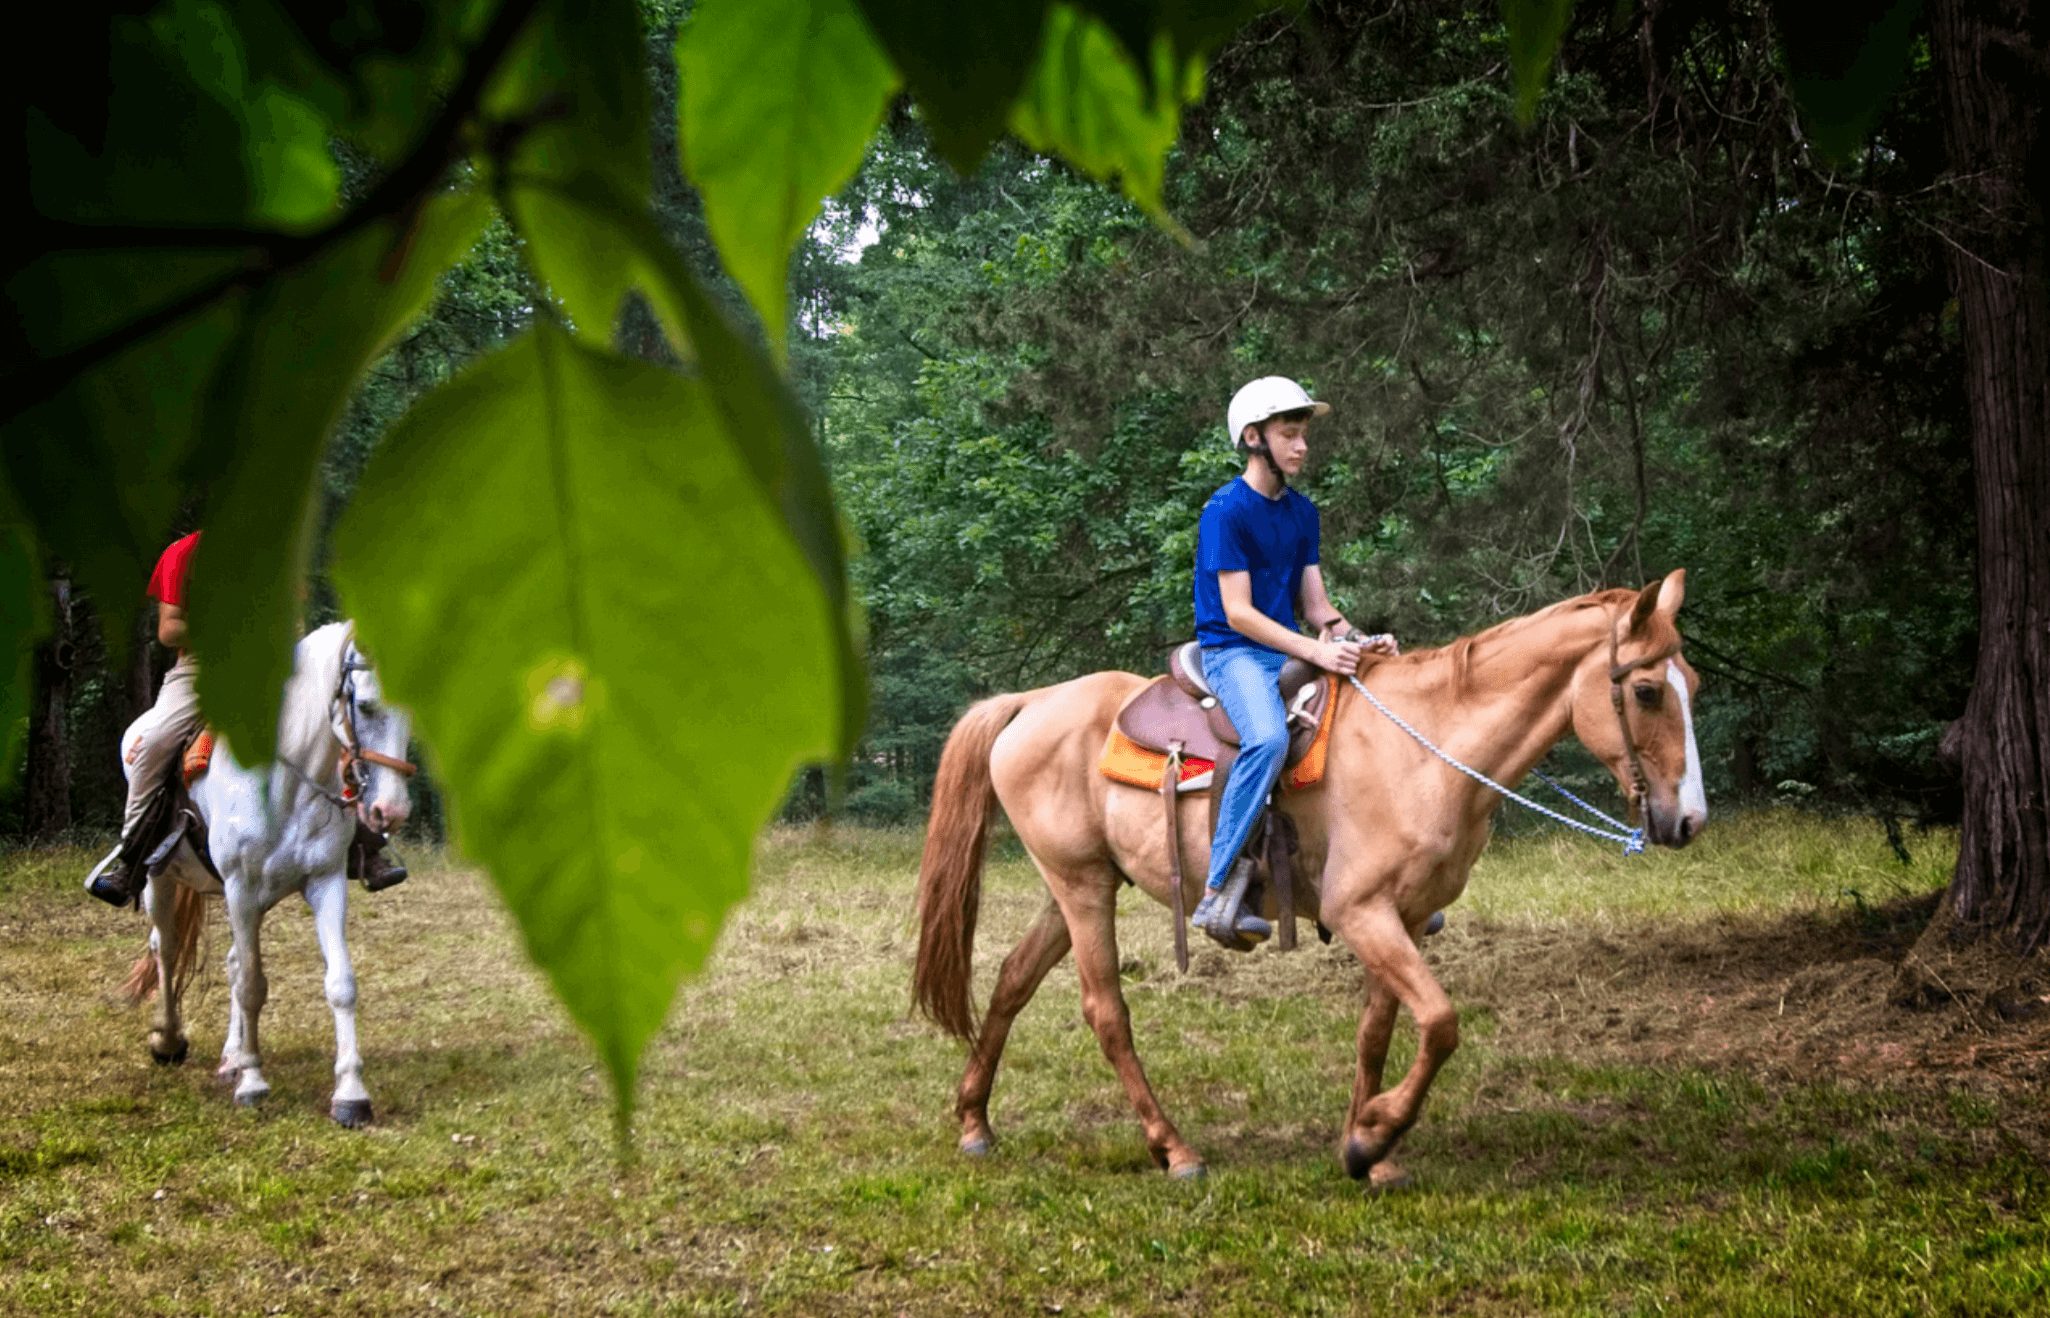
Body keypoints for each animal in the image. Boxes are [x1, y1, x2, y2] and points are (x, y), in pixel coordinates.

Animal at [119, 623, 416, 1123]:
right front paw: (254, 1083)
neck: (288, 778)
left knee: (231, 961)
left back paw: (230, 1056)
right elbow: (253, 986)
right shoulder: (240, 887)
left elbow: (339, 982)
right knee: (167, 947)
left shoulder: (325, 882)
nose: (389, 812)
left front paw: (351, 1094)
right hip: (163, 879)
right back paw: (170, 1041)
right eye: (365, 706)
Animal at [910, 573, 1697, 1180]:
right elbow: (1440, 1023)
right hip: (1081, 887)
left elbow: (1379, 1031)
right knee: (1106, 1013)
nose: (1687, 820)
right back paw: (1175, 1150)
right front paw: (1376, 1133)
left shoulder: (1406, 917)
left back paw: (975, 1123)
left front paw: (1365, 1146)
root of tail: (1031, 703)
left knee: (1012, 979)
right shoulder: (1360, 911)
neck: (1428, 748)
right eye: (1648, 691)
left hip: (1075, 885)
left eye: (1689, 681)